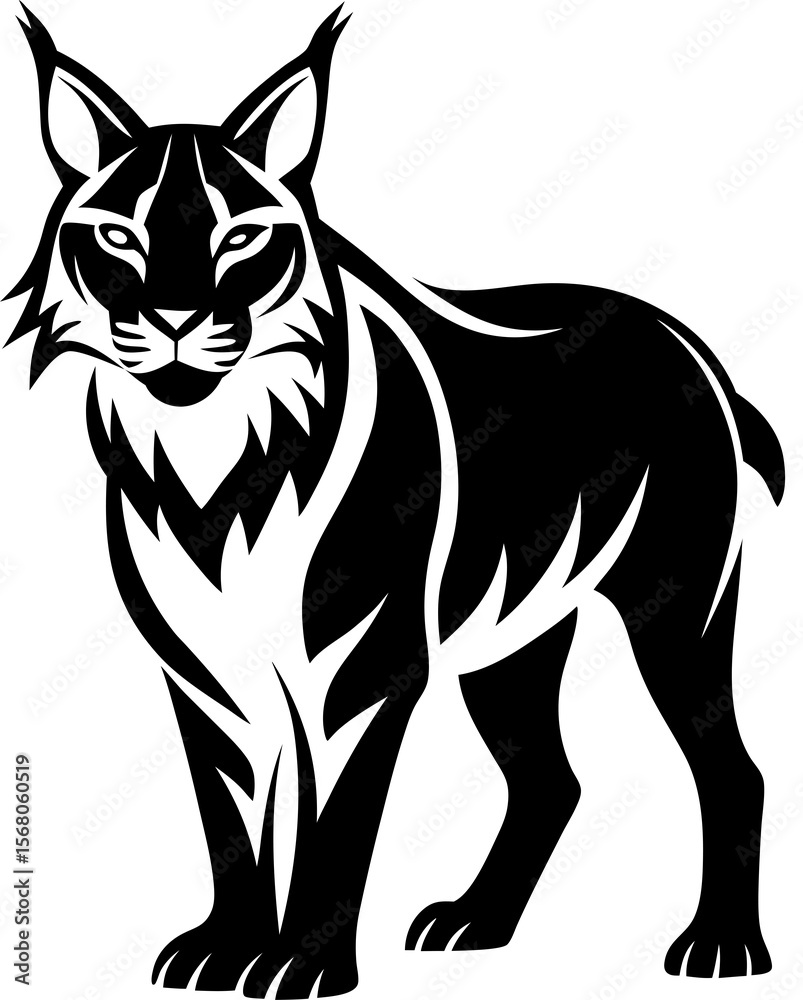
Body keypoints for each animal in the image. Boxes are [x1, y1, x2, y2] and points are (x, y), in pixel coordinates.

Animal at [7, 4, 783, 997]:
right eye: (117, 237)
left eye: (241, 237)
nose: (176, 321)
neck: (216, 465)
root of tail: (678, 334)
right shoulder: (201, 674)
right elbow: (229, 819)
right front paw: (225, 948)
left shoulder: (365, 671)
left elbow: (336, 823)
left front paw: (301, 966)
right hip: (512, 638)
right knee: (550, 779)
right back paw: (476, 922)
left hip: (676, 607)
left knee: (732, 768)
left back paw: (721, 947)